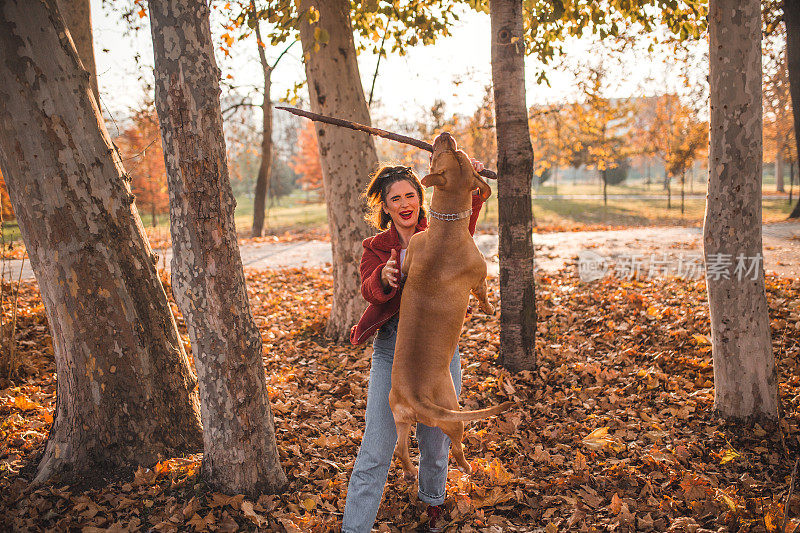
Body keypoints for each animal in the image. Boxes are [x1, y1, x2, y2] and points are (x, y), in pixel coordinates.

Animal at [388, 132, 512, 478]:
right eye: (456, 156)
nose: (446, 135)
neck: (444, 227)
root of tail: (416, 398)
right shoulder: (480, 276)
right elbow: (483, 294)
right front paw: (488, 310)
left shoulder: (411, 254)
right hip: (452, 414)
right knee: (456, 448)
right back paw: (469, 468)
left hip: (400, 418)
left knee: (400, 450)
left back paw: (410, 473)